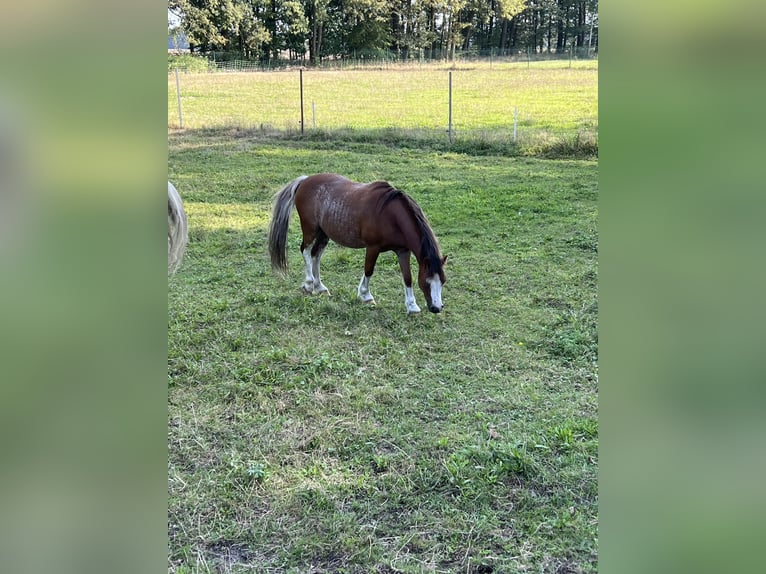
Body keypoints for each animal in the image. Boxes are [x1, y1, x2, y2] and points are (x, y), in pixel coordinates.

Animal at [272, 173, 448, 316]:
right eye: (426, 282)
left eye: (443, 281)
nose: (437, 308)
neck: (391, 216)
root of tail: (305, 180)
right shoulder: (373, 247)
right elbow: (369, 270)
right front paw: (365, 296)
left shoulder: (403, 251)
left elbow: (407, 277)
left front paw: (412, 306)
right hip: (310, 229)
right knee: (306, 251)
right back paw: (309, 284)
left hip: (323, 233)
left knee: (316, 255)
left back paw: (320, 286)